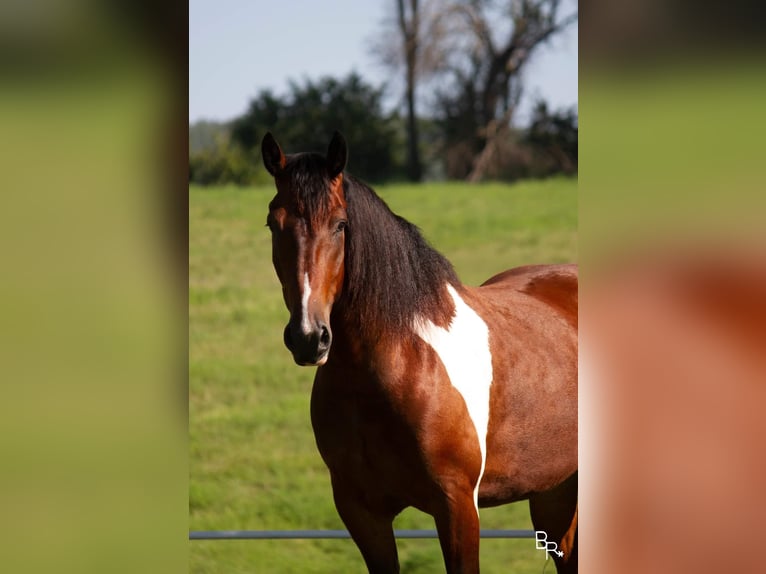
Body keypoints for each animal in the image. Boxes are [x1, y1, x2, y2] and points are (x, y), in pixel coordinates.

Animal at [260, 133, 580, 572]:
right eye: (273, 224)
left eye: (340, 225)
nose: (309, 337)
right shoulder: (362, 512)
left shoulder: (457, 508)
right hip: (555, 495)